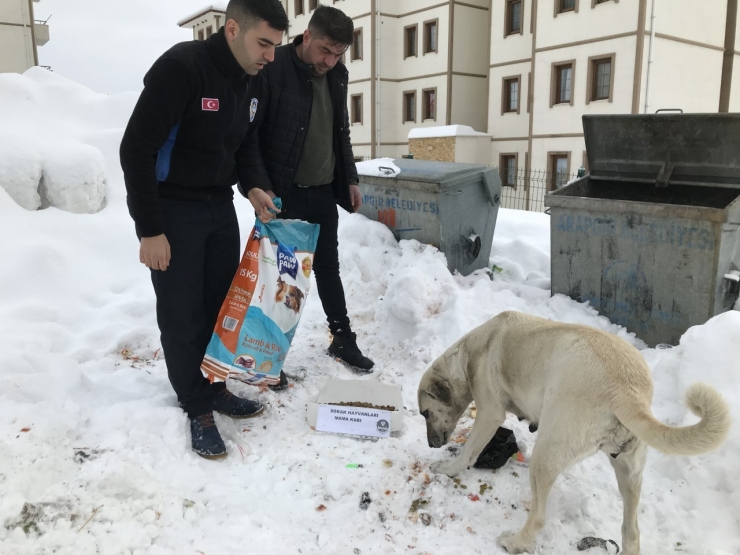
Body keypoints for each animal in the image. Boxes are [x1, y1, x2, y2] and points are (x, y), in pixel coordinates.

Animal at [420, 312, 732, 555]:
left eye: (425, 413)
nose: (431, 445)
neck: (470, 353)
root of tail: (627, 391)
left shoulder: (489, 414)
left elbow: (469, 450)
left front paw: (449, 468)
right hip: (630, 473)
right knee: (631, 531)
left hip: (545, 456)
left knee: (539, 518)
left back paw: (515, 542)